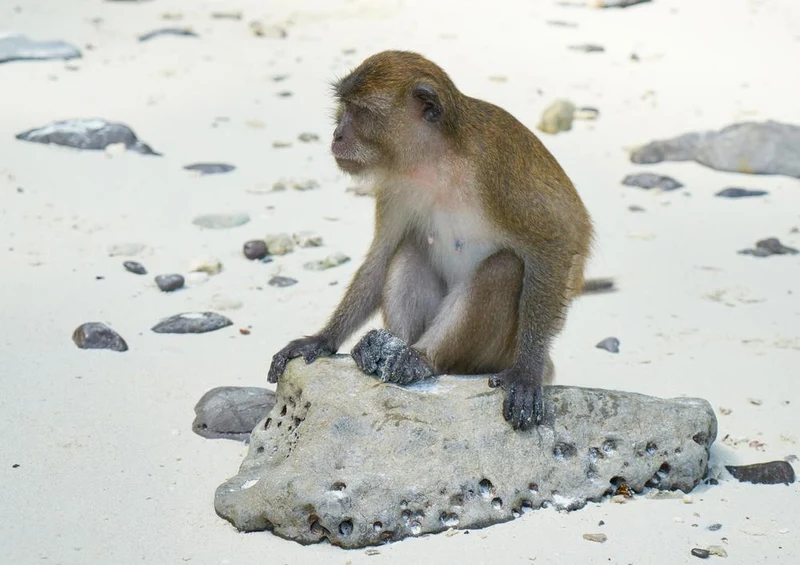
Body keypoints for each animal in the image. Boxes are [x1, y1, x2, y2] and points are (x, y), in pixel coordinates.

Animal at [268, 50, 596, 430]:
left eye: (360, 111)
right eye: (343, 107)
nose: (336, 135)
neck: (438, 159)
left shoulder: (497, 168)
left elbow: (555, 242)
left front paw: (527, 373)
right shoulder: (396, 185)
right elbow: (382, 255)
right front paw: (321, 340)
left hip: (497, 352)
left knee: (504, 266)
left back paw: (423, 359)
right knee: (409, 250)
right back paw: (391, 350)